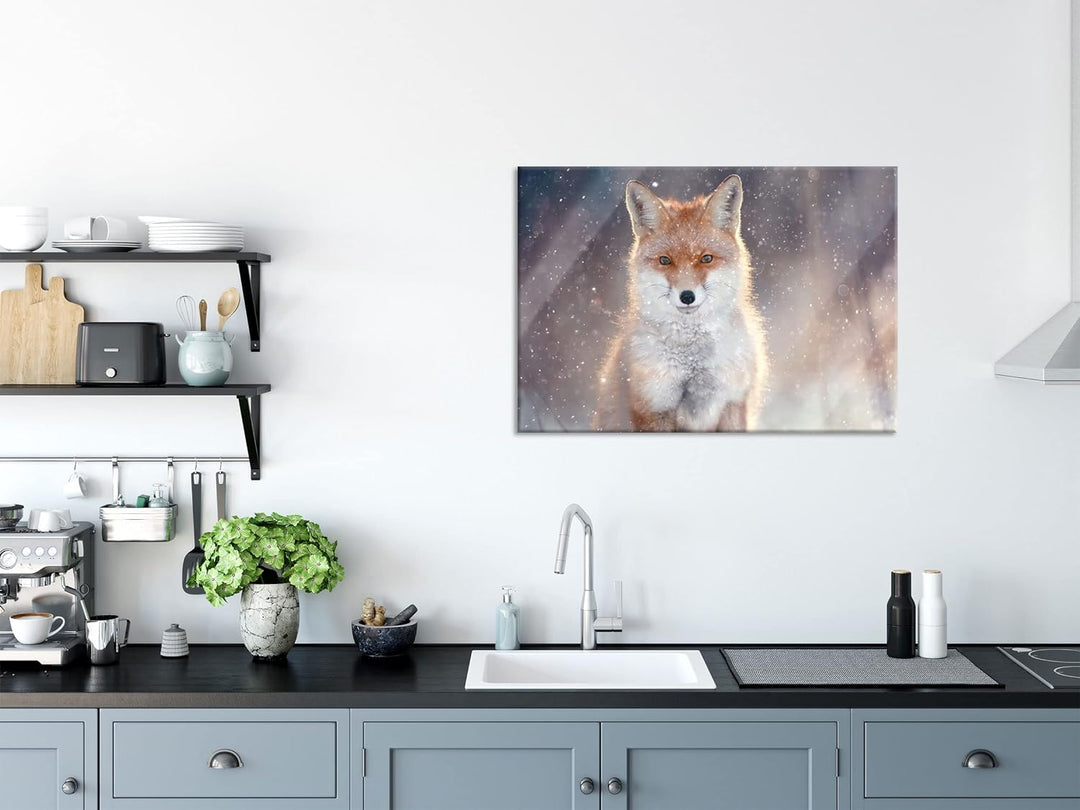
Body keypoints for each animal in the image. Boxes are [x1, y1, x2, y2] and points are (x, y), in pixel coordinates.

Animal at [594, 176, 768, 432]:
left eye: (706, 258)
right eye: (665, 260)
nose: (687, 296)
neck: (694, 363)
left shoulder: (733, 402)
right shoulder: (654, 406)